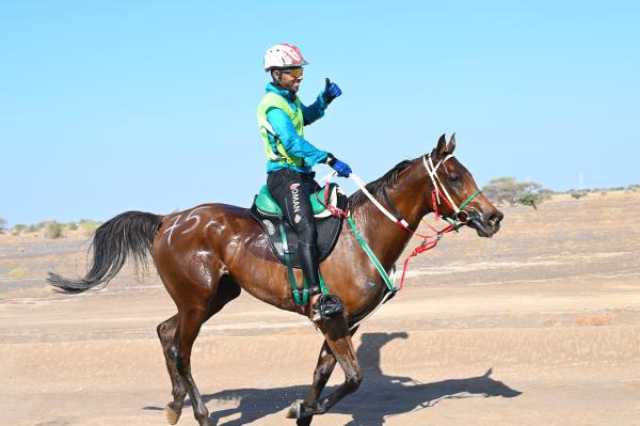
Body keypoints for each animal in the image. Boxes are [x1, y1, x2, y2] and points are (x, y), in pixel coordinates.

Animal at [47, 134, 502, 426]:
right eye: (455, 177)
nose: (493, 217)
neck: (366, 231)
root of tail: (167, 221)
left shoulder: (343, 323)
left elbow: (322, 375)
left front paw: (302, 409)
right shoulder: (332, 319)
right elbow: (352, 378)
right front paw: (302, 408)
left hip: (214, 297)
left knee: (164, 332)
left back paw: (175, 405)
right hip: (196, 302)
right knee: (181, 350)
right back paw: (200, 414)